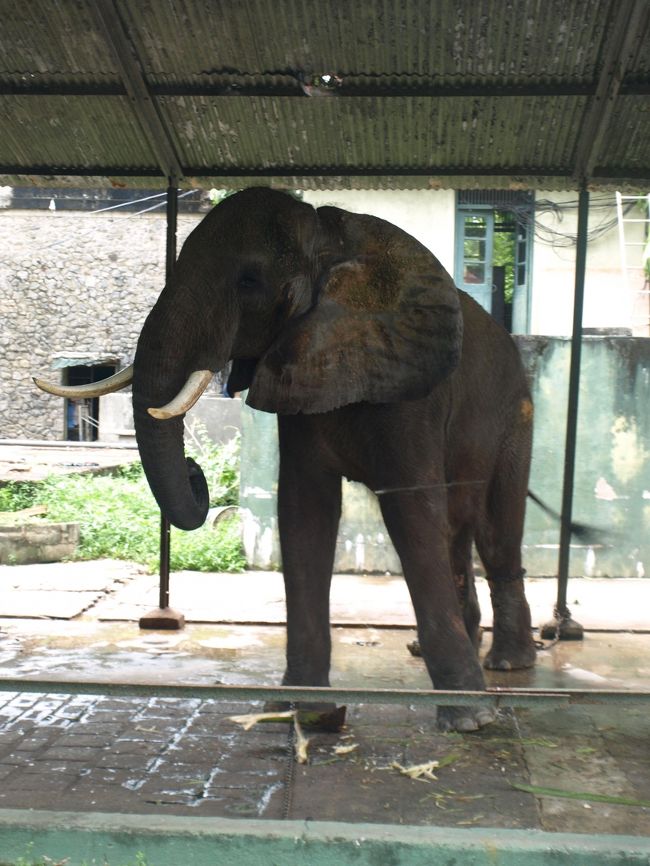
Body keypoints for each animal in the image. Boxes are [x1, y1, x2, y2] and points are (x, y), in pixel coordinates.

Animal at [34, 187, 536, 728]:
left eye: (249, 281)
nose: (195, 472)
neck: (334, 249)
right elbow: (303, 509)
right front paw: (303, 710)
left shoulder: (413, 389)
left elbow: (412, 513)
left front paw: (467, 718)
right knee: (458, 531)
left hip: (518, 414)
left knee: (494, 531)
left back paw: (507, 664)